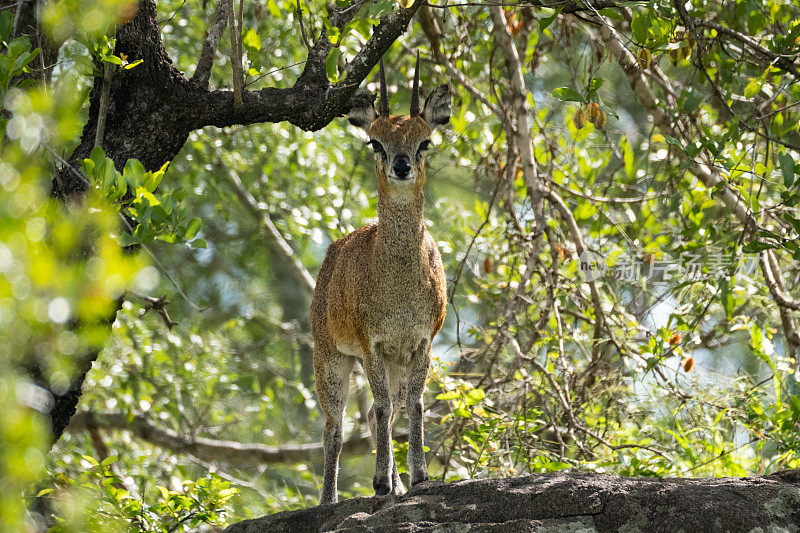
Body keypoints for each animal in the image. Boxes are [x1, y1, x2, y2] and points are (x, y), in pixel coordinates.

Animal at [310, 55, 454, 502]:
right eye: (375, 142)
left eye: (425, 141)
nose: (401, 165)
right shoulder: (370, 342)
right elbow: (385, 406)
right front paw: (379, 482)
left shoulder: (421, 341)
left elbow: (413, 405)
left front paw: (419, 477)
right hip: (331, 356)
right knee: (335, 427)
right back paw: (330, 498)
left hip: (389, 361)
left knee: (378, 416)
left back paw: (396, 483)